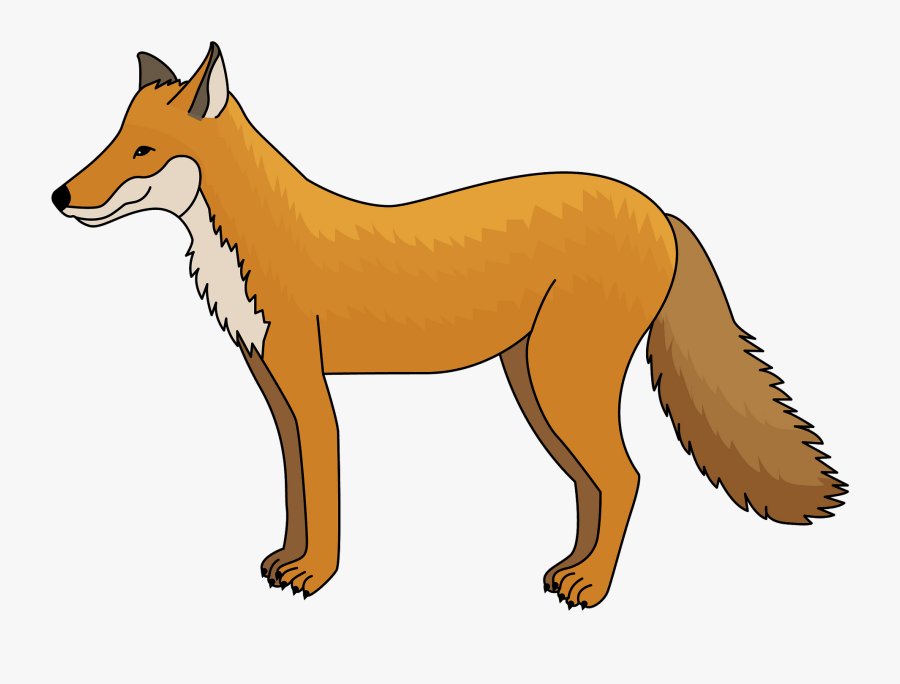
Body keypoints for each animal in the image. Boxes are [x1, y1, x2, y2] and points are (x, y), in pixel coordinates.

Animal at [52, 42, 846, 609]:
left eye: (143, 152)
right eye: (113, 138)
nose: (59, 196)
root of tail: (659, 208)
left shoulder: (313, 390)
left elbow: (325, 486)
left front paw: (317, 576)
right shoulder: (276, 390)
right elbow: (295, 486)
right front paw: (289, 560)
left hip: (560, 383)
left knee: (625, 477)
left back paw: (593, 588)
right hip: (535, 387)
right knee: (592, 484)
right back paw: (571, 570)